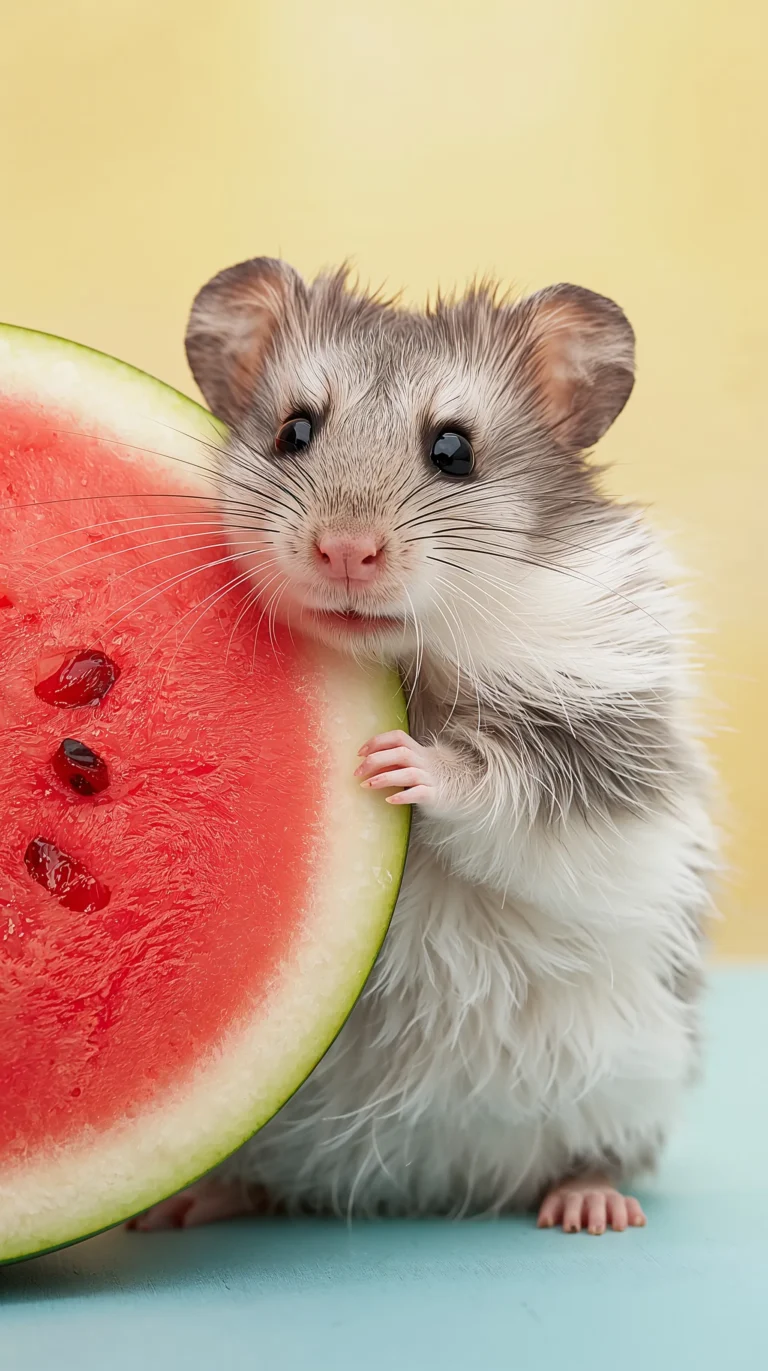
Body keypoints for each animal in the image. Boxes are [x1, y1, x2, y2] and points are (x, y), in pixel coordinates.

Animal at [130, 259, 717, 1236]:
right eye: (294, 431)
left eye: (453, 450)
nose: (345, 551)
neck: (412, 656)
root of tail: (423, 1177)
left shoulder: (604, 754)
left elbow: (508, 791)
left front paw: (395, 763)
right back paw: (187, 1203)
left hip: (639, 1067)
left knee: (596, 1151)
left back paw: (590, 1204)